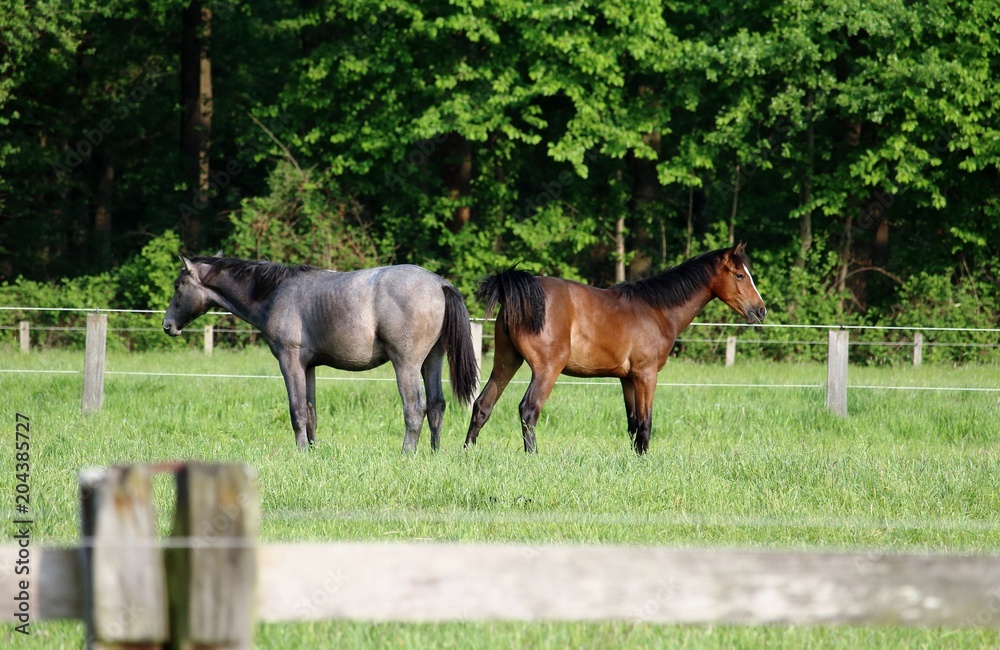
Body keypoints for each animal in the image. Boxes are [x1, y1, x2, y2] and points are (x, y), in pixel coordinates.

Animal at [162, 255, 479, 451]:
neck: (276, 293)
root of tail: (440, 283)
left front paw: (302, 451)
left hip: (406, 365)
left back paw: (407, 453)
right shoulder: (309, 367)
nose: (167, 325)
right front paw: (313, 450)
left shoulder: (290, 362)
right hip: (432, 360)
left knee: (415, 409)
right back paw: (434, 452)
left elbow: (297, 411)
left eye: (178, 286)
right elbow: (311, 412)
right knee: (437, 405)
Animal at [464, 242, 766, 454]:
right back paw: (532, 456)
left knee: (482, 405)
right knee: (529, 409)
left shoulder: (627, 379)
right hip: (547, 368)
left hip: (506, 361)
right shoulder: (646, 375)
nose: (760, 310)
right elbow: (645, 423)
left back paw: (468, 452)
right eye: (739, 275)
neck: (655, 310)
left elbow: (633, 424)